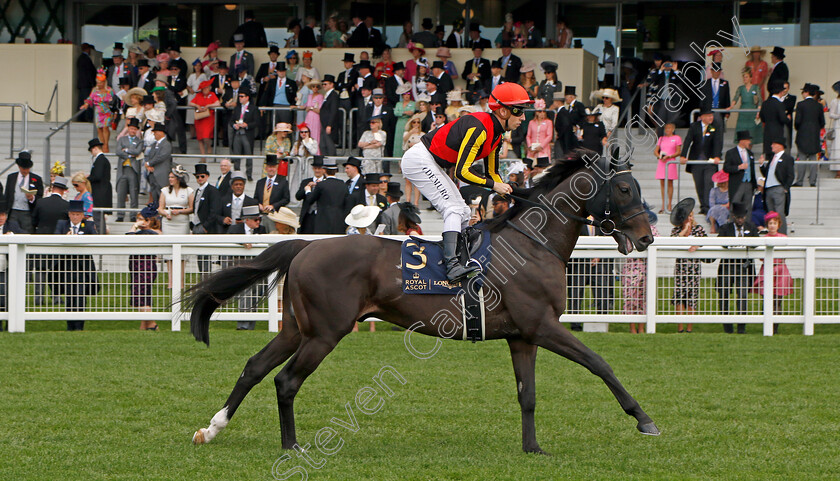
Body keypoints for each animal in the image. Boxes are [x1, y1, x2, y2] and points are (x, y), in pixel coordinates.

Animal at [187, 152, 660, 452]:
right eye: (622, 188)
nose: (646, 238)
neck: (533, 244)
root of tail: (306, 245)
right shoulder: (542, 325)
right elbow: (600, 364)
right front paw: (644, 419)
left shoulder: (522, 336)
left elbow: (527, 395)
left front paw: (533, 448)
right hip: (324, 333)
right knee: (285, 381)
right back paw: (292, 446)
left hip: (296, 329)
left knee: (254, 368)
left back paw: (212, 429)